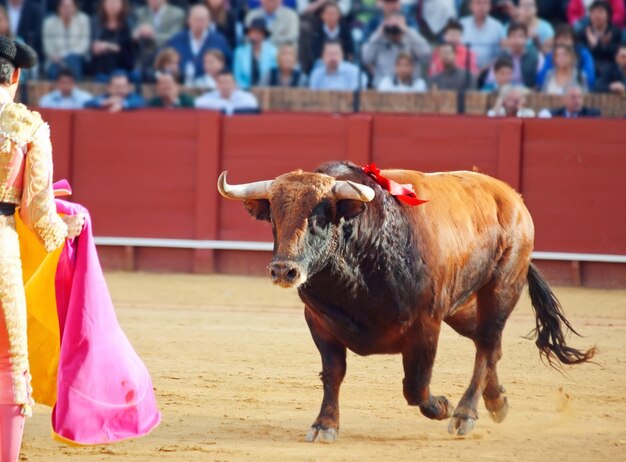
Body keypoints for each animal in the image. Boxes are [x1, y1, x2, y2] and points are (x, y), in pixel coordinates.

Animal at [217, 161, 592, 442]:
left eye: (320, 218)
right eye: (274, 218)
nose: (284, 270)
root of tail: (511, 197)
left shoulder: (425, 324)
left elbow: (415, 385)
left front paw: (441, 405)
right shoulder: (319, 322)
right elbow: (333, 373)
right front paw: (324, 425)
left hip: (500, 288)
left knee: (487, 344)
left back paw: (464, 413)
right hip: (461, 306)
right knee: (489, 343)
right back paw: (496, 402)